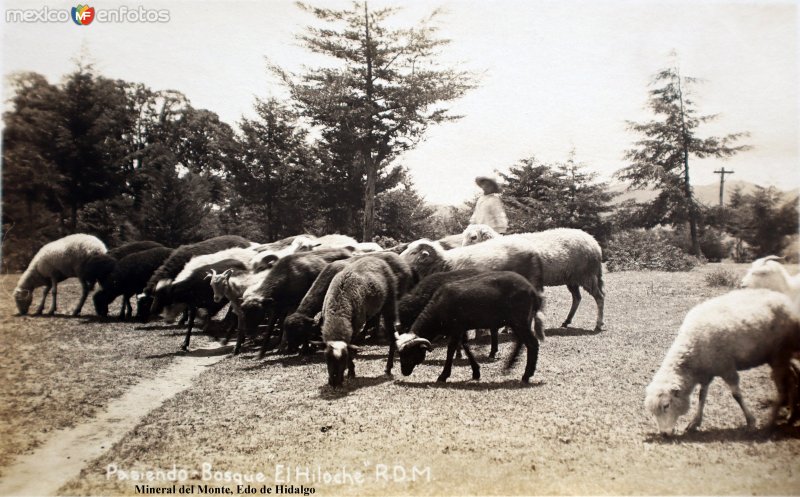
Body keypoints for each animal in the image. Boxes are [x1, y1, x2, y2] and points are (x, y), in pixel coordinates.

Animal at [318, 256, 396, 388]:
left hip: (389, 304)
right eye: (326, 358)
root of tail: (377, 258)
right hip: (377, 307)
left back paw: (388, 368)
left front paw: (351, 371)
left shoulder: (355, 327)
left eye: (343, 359)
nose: (334, 383)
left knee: (392, 336)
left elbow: (350, 349)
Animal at [394, 272, 544, 384]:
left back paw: (526, 375)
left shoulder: (456, 329)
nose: (404, 372)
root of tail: (532, 290)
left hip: (520, 320)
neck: (437, 312)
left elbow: (451, 350)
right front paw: (476, 372)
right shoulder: (461, 329)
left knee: (532, 343)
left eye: (410, 353)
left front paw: (443, 376)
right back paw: (510, 366)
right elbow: (466, 346)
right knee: (521, 343)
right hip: (519, 321)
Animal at [460, 224, 604, 332]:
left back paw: (598, 324)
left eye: (473, 237)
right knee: (577, 298)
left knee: (599, 297)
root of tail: (594, 242)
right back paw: (567, 321)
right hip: (572, 278)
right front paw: (507, 328)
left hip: (587, 274)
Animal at [644, 288, 800, 432]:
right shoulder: (706, 373)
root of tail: (786, 300)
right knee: (792, 379)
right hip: (778, 356)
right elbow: (702, 396)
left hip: (779, 354)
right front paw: (695, 422)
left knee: (784, 386)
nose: (664, 433)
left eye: (666, 405)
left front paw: (750, 421)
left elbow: (736, 395)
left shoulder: (727, 367)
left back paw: (772, 421)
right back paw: (791, 417)